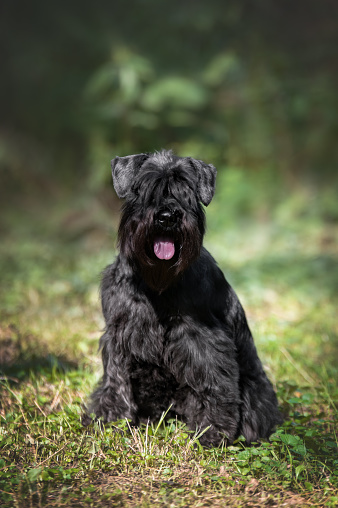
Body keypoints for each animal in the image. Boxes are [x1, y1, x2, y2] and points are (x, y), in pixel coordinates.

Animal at [82, 150, 282, 444]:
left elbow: (213, 381)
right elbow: (116, 377)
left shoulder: (200, 337)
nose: (167, 216)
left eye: (186, 191)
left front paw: (213, 430)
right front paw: (112, 418)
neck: (158, 284)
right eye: (144, 188)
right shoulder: (120, 332)